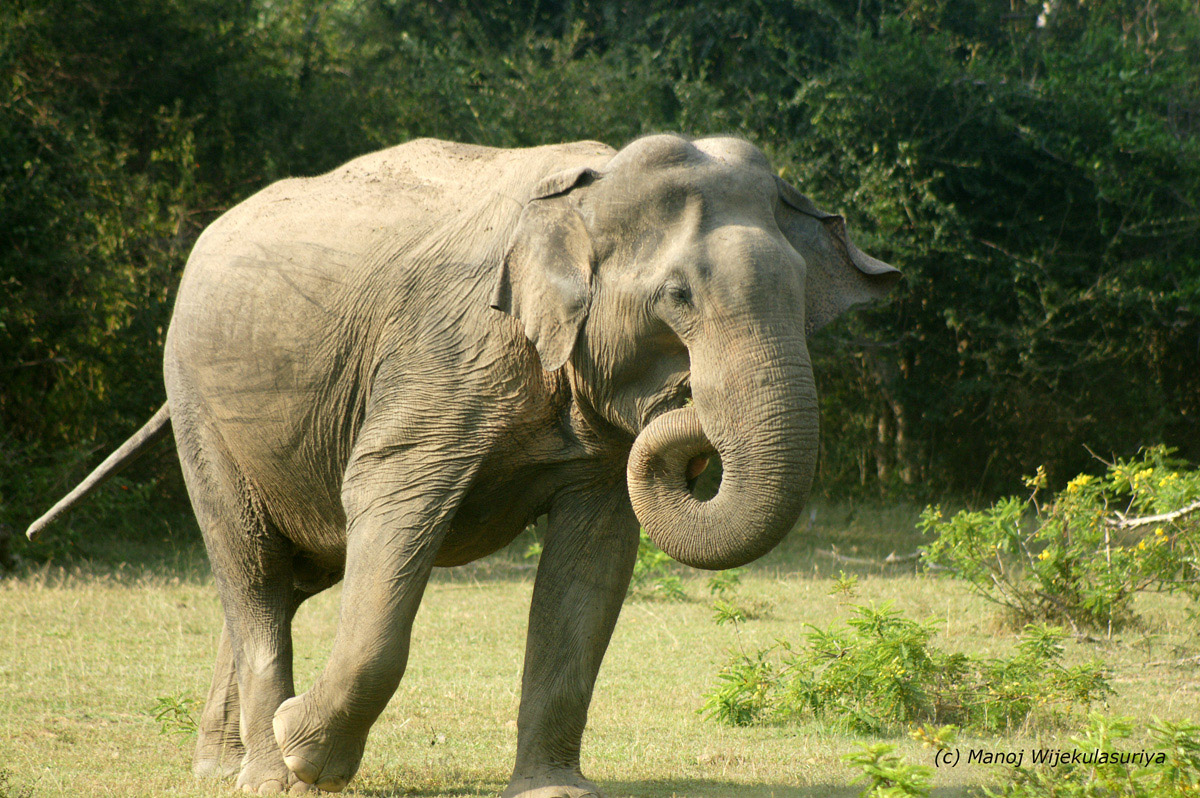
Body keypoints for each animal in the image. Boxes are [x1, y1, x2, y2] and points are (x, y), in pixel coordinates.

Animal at [27, 133, 899, 796]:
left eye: (804, 299)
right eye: (679, 298)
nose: (686, 409)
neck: (585, 192)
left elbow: (592, 561)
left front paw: (555, 791)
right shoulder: (441, 361)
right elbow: (388, 504)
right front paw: (308, 752)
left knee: (289, 575)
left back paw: (221, 767)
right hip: (201, 407)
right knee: (251, 567)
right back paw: (268, 775)